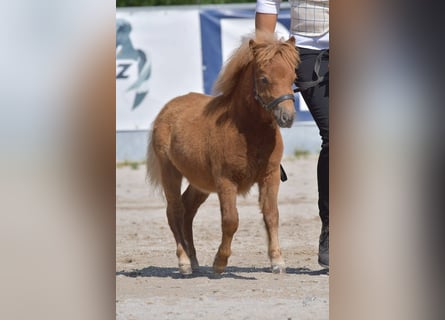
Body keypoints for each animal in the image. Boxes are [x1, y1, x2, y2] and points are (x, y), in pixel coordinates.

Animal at [147, 35, 300, 276]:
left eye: (293, 77)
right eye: (264, 79)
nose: (287, 117)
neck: (248, 131)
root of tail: (167, 109)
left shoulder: (270, 176)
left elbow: (271, 215)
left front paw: (277, 261)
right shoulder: (226, 181)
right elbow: (230, 220)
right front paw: (219, 262)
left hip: (200, 183)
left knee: (188, 210)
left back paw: (194, 260)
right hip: (169, 172)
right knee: (175, 211)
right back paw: (184, 262)